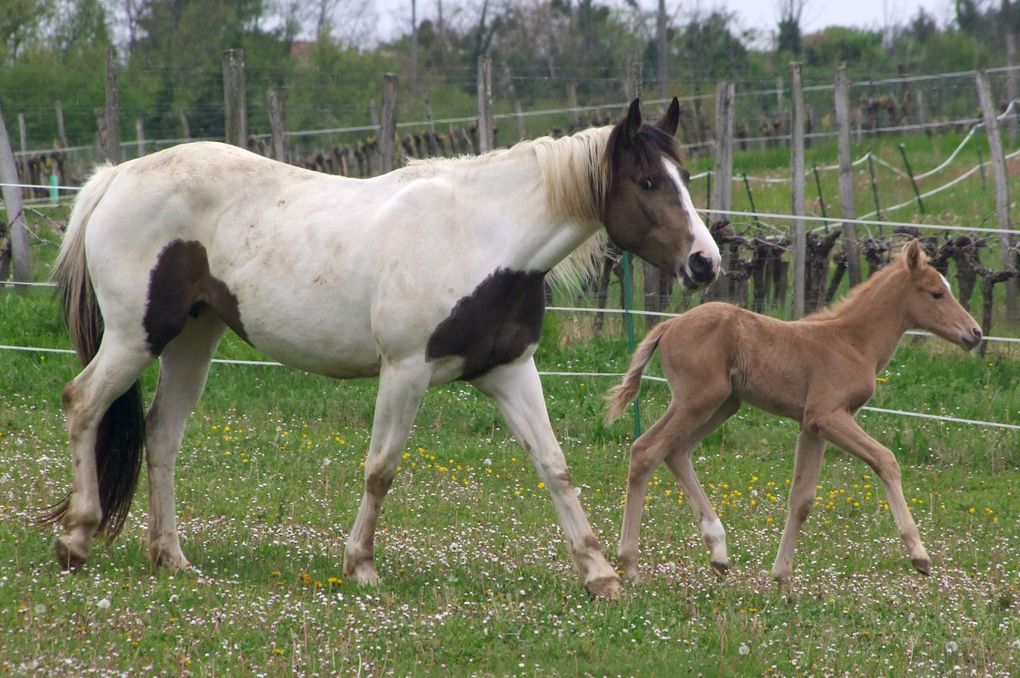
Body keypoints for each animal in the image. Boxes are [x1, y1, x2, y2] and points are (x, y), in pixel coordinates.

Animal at [43, 97, 722, 595]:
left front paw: (600, 574)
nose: (705, 263)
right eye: (646, 181)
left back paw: (171, 557)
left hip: (193, 339)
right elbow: (381, 469)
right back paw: (76, 539)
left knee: (161, 435)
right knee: (82, 403)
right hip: (135, 336)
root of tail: (115, 177)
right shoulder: (405, 371)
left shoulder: (510, 372)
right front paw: (361, 565)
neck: (483, 237)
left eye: (685, 178)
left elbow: (555, 466)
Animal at [603, 240, 979, 583]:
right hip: (697, 399)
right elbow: (885, 459)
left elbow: (801, 500)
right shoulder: (827, 415)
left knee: (676, 452)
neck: (853, 342)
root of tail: (668, 326)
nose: (974, 333)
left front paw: (782, 578)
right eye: (936, 293)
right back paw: (630, 565)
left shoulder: (812, 426)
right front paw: (919, 555)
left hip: (723, 403)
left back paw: (719, 552)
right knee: (646, 450)